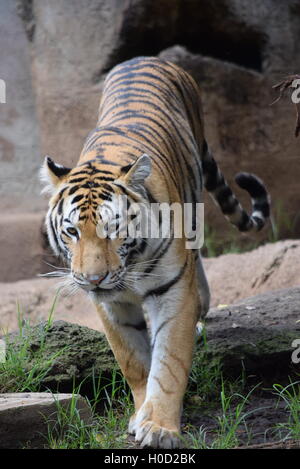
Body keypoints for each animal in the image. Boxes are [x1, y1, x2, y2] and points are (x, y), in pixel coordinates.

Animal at [41, 56, 270, 448]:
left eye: (113, 228)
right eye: (71, 232)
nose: (93, 279)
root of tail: (145, 57)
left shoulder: (172, 292)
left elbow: (170, 363)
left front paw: (160, 427)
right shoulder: (110, 306)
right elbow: (134, 362)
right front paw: (140, 414)